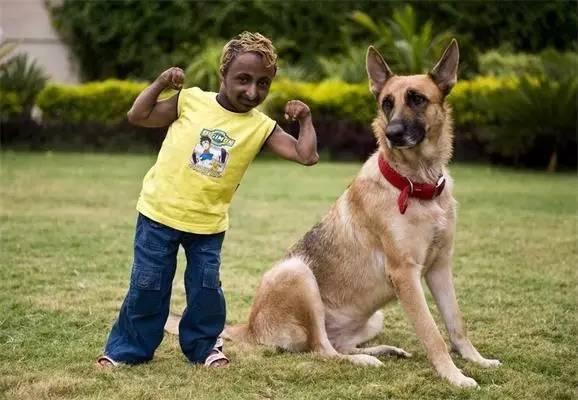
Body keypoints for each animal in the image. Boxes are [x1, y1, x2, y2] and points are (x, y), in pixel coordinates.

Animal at [168, 39, 500, 384]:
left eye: (417, 99)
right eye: (387, 103)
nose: (392, 133)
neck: (416, 184)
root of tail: (250, 326)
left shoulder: (440, 267)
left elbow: (456, 323)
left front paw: (476, 360)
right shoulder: (405, 275)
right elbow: (432, 332)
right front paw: (455, 376)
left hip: (374, 317)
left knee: (341, 345)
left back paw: (382, 351)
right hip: (297, 273)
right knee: (323, 350)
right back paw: (364, 361)